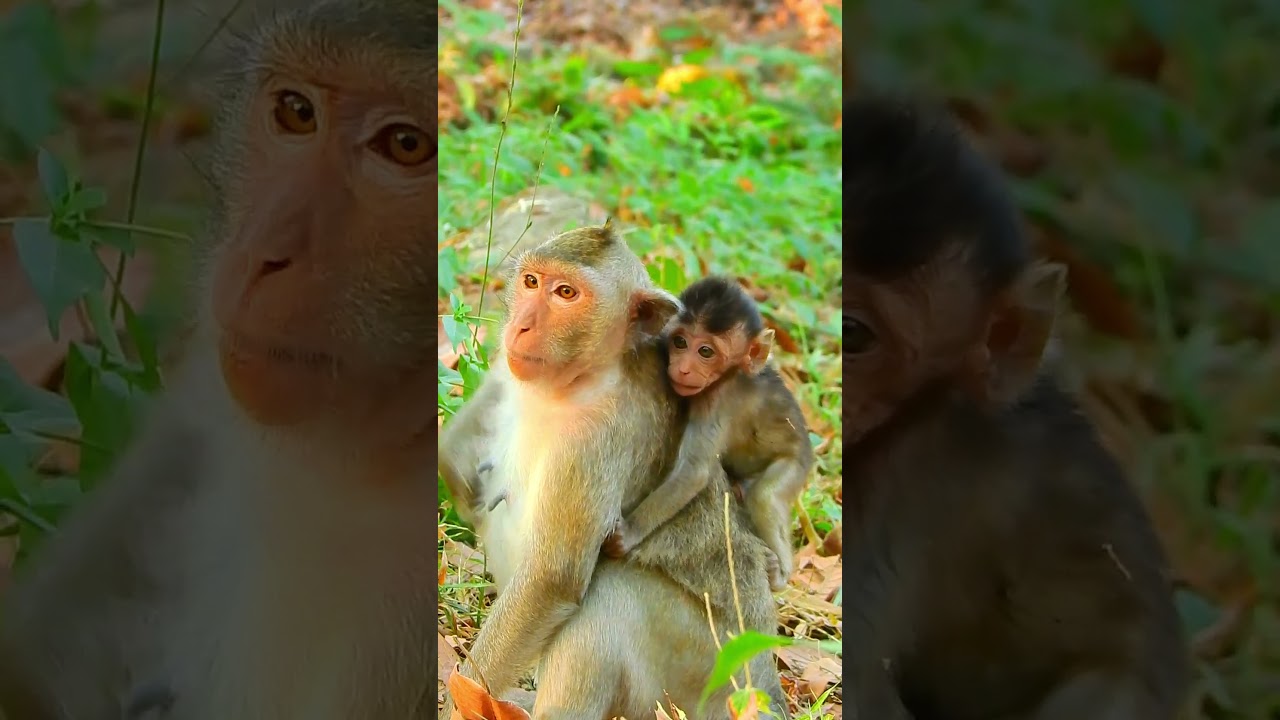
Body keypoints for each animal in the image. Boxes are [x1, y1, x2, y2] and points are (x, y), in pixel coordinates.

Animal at [438, 223, 790, 719]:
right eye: (531, 281)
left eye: (566, 293)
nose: (520, 325)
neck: (583, 379)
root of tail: (766, 678)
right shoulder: (511, 369)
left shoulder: (597, 438)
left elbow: (551, 581)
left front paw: (458, 698)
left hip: (705, 674)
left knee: (609, 590)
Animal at [601, 275, 813, 593]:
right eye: (680, 342)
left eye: (705, 352)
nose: (683, 369)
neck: (730, 375)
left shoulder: (717, 400)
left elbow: (694, 471)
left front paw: (629, 533)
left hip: (796, 463)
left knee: (765, 496)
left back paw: (780, 575)